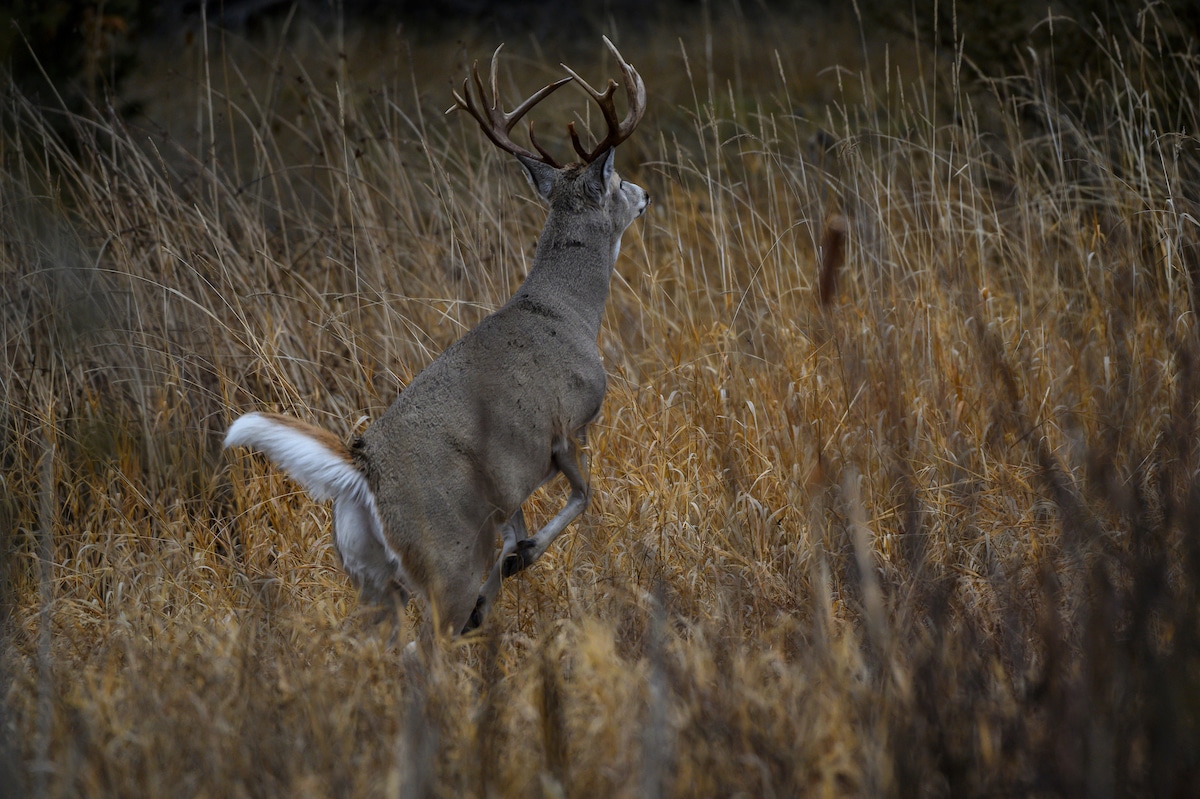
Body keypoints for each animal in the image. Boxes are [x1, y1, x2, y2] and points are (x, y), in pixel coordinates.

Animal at [223, 36, 648, 637]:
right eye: (616, 181)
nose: (645, 194)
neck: (567, 313)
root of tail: (362, 470)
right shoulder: (567, 423)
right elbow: (583, 497)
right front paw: (520, 560)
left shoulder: (511, 480)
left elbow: (519, 522)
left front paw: (508, 569)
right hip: (445, 559)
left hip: (370, 577)